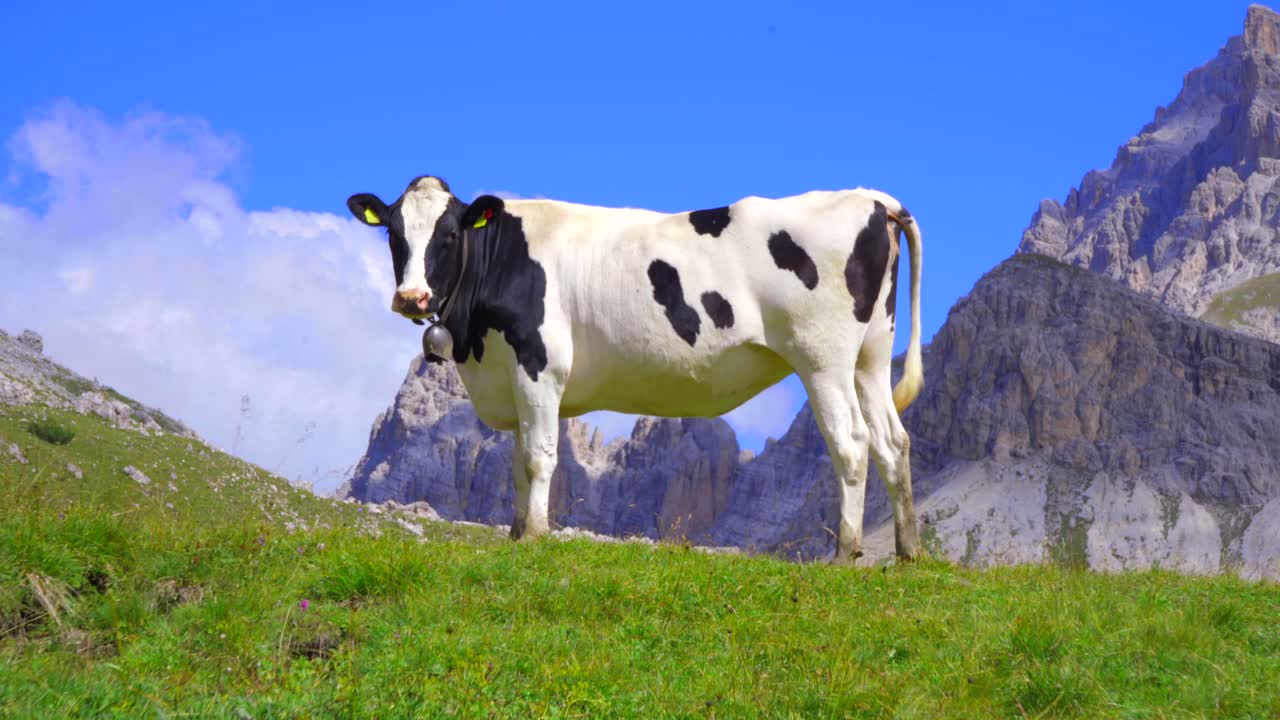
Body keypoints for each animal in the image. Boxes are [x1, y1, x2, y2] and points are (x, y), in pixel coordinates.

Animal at [347, 175, 924, 562]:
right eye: (395, 234)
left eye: (448, 235)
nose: (412, 297)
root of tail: (871, 197)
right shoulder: (511, 378)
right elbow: (516, 463)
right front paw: (515, 534)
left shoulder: (540, 365)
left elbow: (538, 457)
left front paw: (534, 536)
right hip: (870, 356)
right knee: (892, 441)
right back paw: (907, 553)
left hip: (823, 357)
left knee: (851, 442)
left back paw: (846, 555)